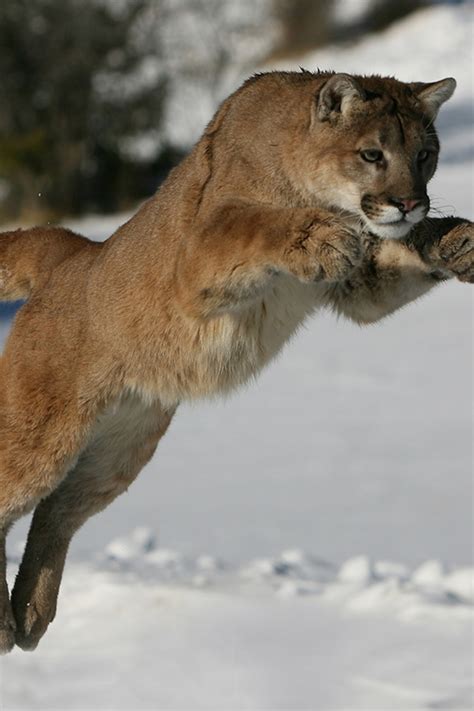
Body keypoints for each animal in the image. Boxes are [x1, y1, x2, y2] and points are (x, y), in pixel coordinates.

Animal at [0, 71, 472, 653]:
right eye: (372, 154)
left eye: (426, 154)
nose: (409, 202)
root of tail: (72, 253)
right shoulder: (198, 259)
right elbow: (250, 224)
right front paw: (318, 234)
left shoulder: (358, 289)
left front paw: (454, 240)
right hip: (42, 432)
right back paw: (6, 619)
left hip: (120, 449)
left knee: (56, 512)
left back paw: (29, 613)